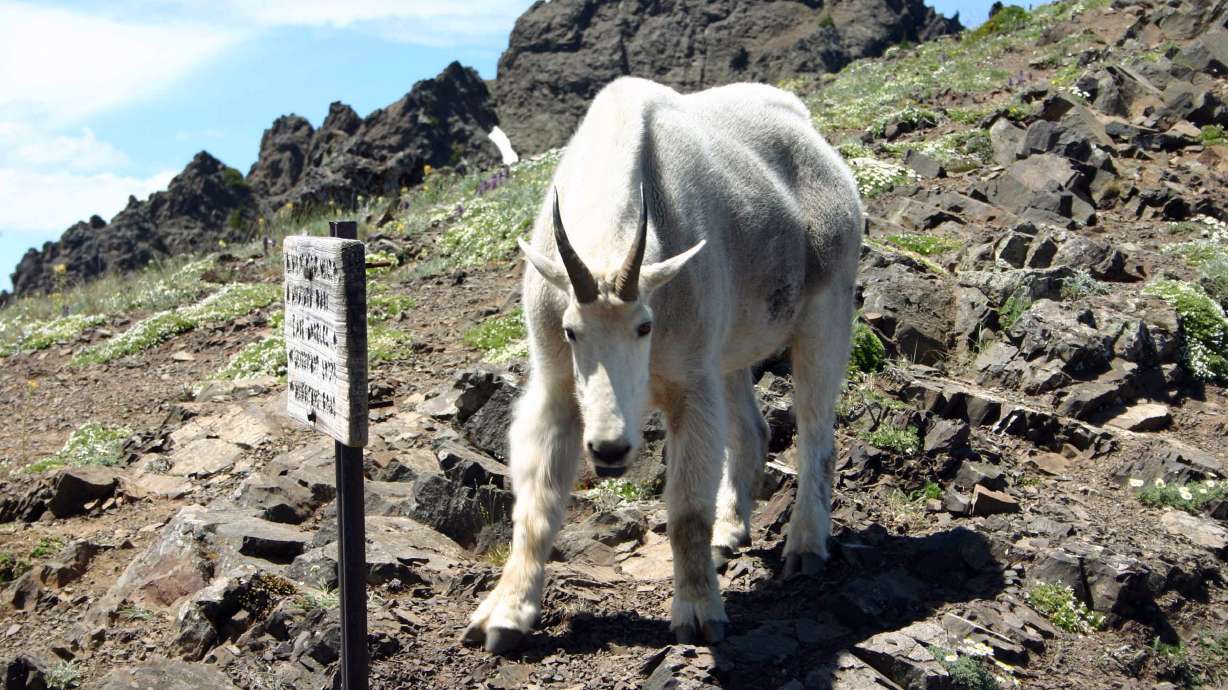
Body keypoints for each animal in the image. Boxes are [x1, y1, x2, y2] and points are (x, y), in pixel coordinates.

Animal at [463, 76, 862, 652]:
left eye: (644, 327)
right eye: (570, 330)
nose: (610, 449)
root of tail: (810, 132)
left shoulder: (689, 383)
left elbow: (686, 508)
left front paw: (698, 613)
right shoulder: (558, 384)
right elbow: (537, 502)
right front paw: (505, 616)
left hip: (827, 307)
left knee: (815, 431)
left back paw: (805, 546)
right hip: (729, 348)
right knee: (753, 429)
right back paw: (729, 532)